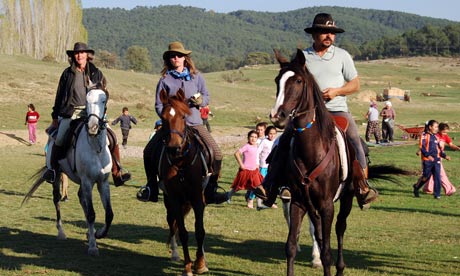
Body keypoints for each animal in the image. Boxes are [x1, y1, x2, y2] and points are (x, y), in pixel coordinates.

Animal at [23, 89, 113, 256]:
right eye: (87, 101)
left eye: (103, 100)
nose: (92, 127)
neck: (95, 148)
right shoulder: (87, 181)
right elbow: (91, 214)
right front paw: (93, 246)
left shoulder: (102, 182)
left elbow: (109, 214)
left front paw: (98, 234)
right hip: (57, 174)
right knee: (57, 199)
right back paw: (61, 232)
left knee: (81, 199)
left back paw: (91, 232)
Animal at [158, 89, 208, 276]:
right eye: (163, 117)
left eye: (183, 116)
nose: (174, 148)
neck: (181, 162)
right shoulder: (175, 199)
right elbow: (184, 233)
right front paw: (187, 267)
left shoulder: (197, 198)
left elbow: (200, 231)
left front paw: (200, 264)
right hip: (169, 201)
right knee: (172, 224)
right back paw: (175, 253)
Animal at [270, 49, 356, 276]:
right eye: (277, 81)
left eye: (298, 81)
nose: (277, 116)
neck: (311, 151)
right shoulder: (298, 201)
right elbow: (291, 246)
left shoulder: (327, 205)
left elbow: (327, 252)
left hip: (346, 199)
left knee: (340, 228)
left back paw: (340, 267)